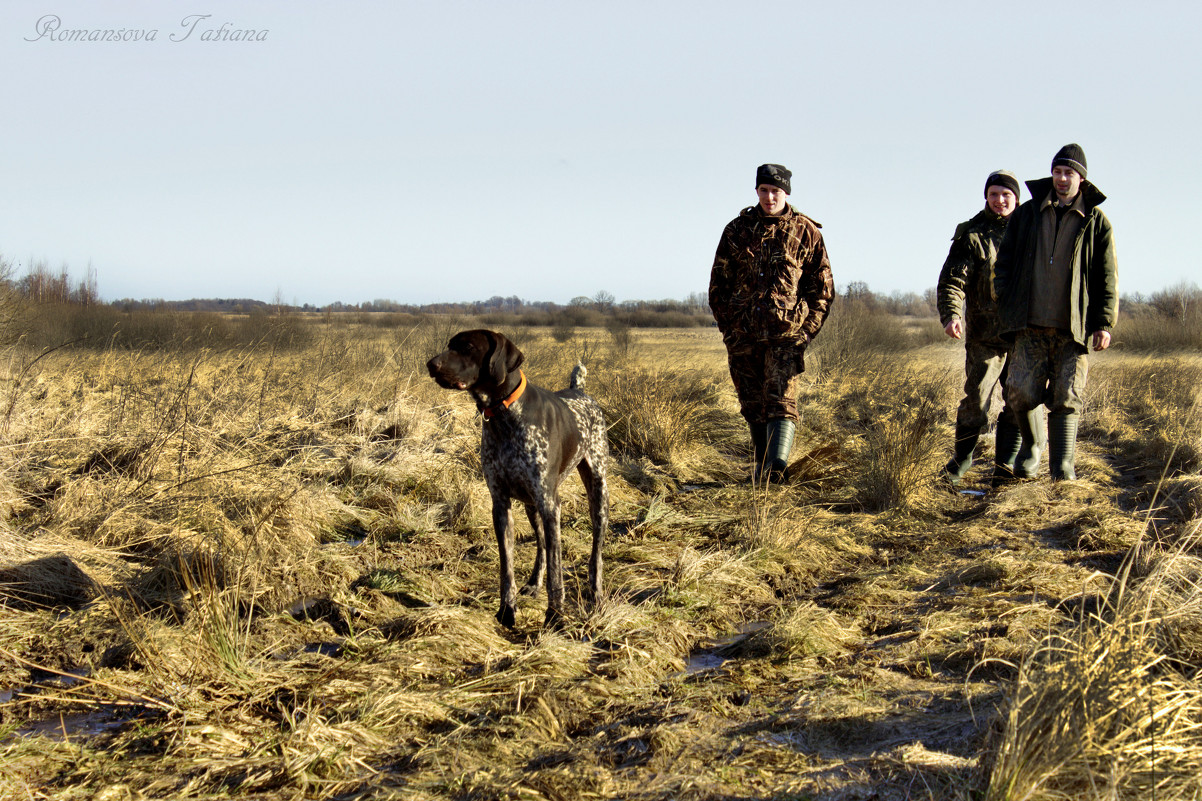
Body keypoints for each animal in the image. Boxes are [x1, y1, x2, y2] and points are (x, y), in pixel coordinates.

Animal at [425, 327, 610, 625]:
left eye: (468, 347)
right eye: (450, 345)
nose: (431, 365)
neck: (504, 415)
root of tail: (579, 391)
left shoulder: (550, 504)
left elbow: (557, 569)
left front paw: (555, 615)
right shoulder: (501, 504)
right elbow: (507, 566)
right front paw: (507, 609)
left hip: (597, 492)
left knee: (595, 554)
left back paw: (596, 594)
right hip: (531, 506)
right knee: (542, 546)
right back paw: (534, 583)